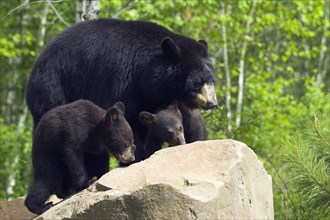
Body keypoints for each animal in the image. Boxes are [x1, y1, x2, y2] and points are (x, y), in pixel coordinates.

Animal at [25, 18, 217, 162]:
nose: (213, 103)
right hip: (55, 87)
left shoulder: (158, 95)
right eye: (198, 81)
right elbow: (124, 118)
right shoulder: (119, 78)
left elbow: (188, 120)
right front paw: (138, 156)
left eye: (212, 79)